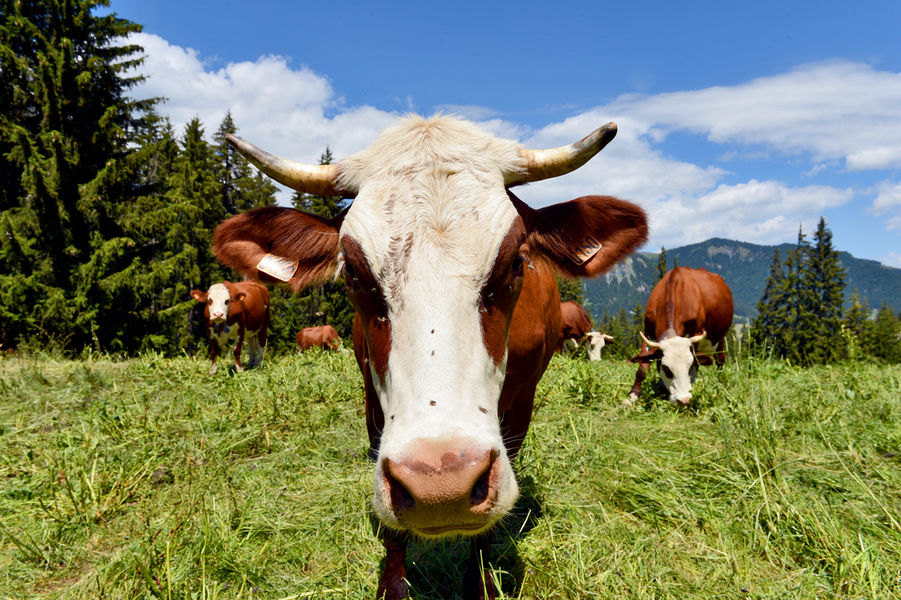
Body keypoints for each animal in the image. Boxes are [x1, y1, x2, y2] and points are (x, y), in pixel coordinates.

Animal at [213, 115, 648, 599]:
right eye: (353, 273)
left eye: (516, 262)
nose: (442, 487)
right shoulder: (373, 400)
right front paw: (393, 585)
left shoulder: (521, 405)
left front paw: (481, 583)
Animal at [626, 267, 733, 407]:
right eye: (666, 368)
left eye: (689, 366)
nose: (683, 400)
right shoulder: (648, 333)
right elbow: (642, 369)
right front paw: (632, 396)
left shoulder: (696, 333)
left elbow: (696, 367)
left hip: (719, 338)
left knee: (720, 360)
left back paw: (720, 385)